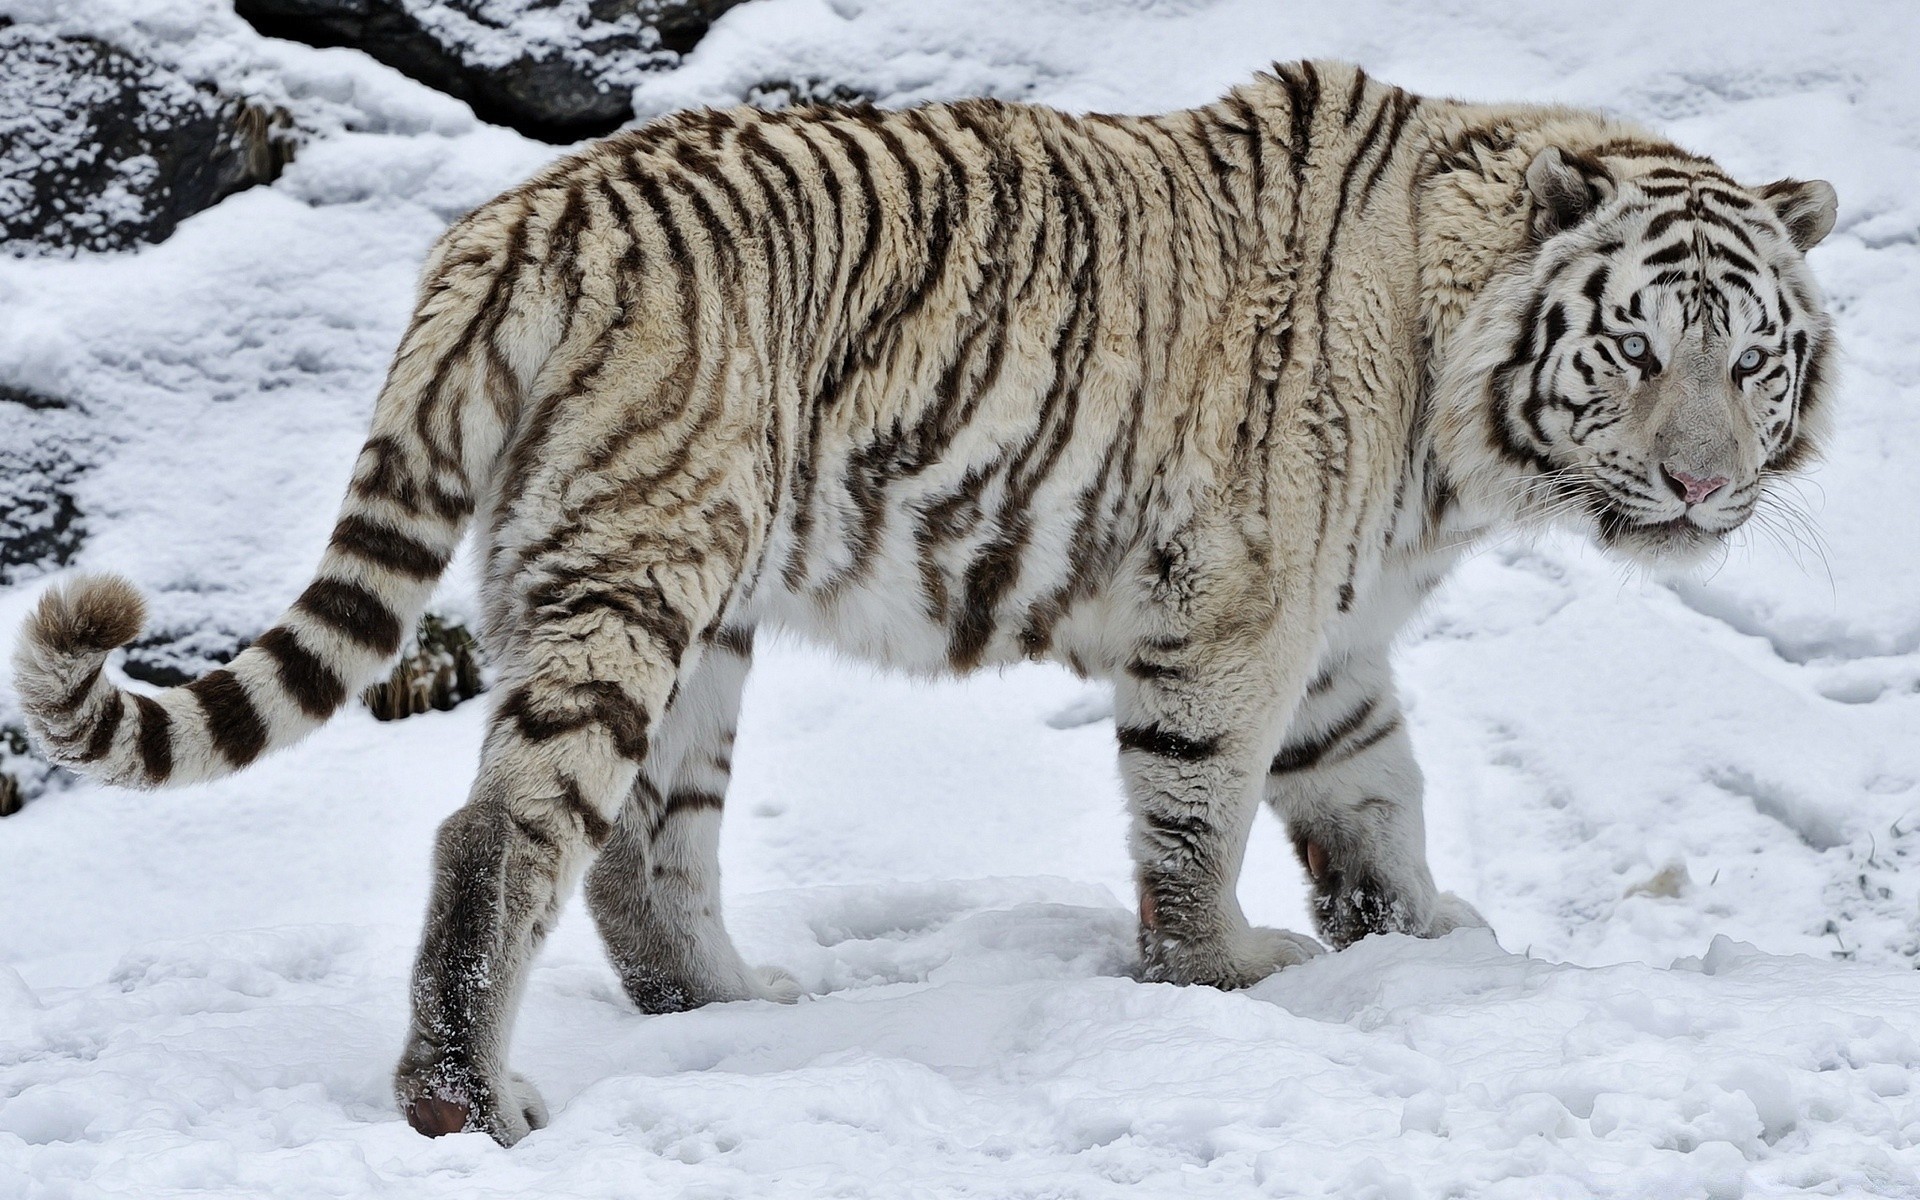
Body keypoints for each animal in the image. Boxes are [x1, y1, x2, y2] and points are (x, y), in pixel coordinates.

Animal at [18, 58, 1843, 1144]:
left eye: (1749, 357)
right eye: (1636, 348)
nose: (1700, 485)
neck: (1460, 408)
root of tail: (518, 220)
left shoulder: (1333, 639)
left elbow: (1374, 797)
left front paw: (1424, 944)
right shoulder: (1235, 610)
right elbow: (1200, 814)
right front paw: (1226, 976)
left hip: (681, 611)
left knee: (639, 842)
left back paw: (725, 1007)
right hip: (640, 566)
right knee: (504, 832)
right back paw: (469, 1102)